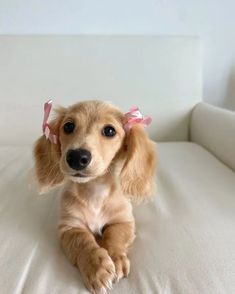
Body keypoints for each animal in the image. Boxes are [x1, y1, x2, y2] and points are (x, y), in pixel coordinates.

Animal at [34, 100, 156, 292]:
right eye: (68, 126)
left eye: (110, 131)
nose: (77, 157)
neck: (94, 191)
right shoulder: (70, 227)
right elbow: (83, 241)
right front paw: (97, 268)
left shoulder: (124, 221)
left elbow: (114, 235)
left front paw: (115, 258)